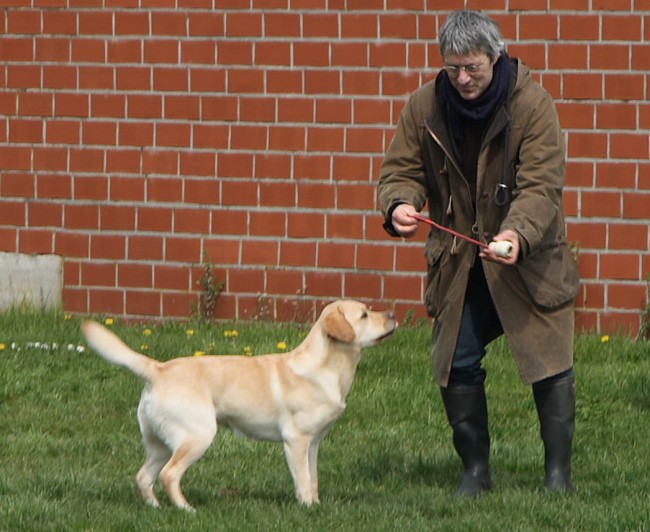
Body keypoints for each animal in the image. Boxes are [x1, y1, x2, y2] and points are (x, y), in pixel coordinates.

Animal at [81, 300, 394, 512]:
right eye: (364, 314)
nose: (392, 313)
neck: (328, 367)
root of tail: (157, 369)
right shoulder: (296, 441)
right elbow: (303, 479)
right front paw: (306, 507)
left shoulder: (314, 443)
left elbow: (313, 477)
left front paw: (315, 505)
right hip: (198, 435)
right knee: (169, 475)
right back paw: (187, 510)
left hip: (161, 443)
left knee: (144, 477)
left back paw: (156, 509)